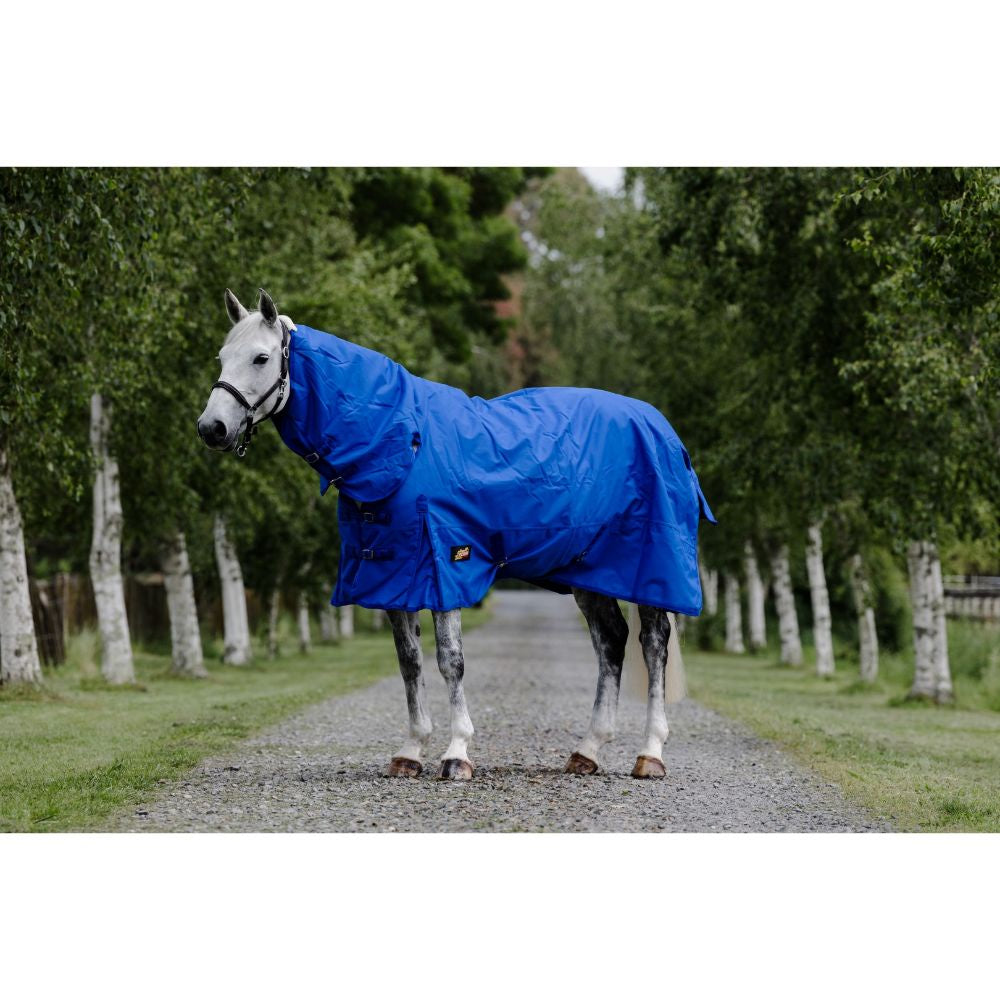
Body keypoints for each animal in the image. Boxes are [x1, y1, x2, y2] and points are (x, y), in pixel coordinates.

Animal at [198, 288, 715, 781]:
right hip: (590, 572)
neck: (401, 441)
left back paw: (650, 754)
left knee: (652, 644)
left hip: (650, 566)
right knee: (610, 640)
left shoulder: (445, 564)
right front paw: (410, 752)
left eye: (261, 358)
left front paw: (456, 754)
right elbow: (409, 661)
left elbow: (450, 660)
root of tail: (662, 429)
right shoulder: (394, 575)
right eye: (222, 356)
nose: (212, 428)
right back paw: (587, 751)